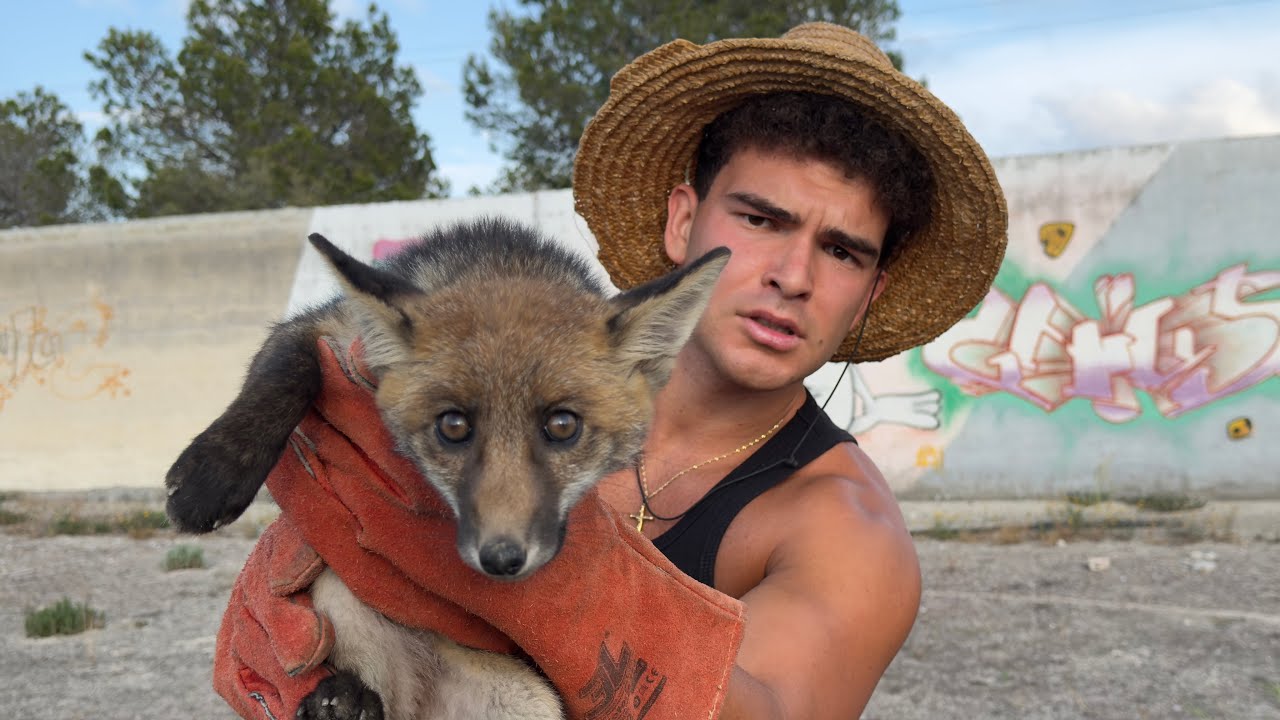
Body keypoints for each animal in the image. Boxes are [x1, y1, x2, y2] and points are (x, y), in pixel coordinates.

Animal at [164, 217, 729, 720]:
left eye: (563, 425)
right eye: (453, 426)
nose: (502, 558)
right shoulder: (328, 331)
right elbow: (282, 372)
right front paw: (211, 475)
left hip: (530, 702)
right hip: (339, 603)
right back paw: (341, 700)